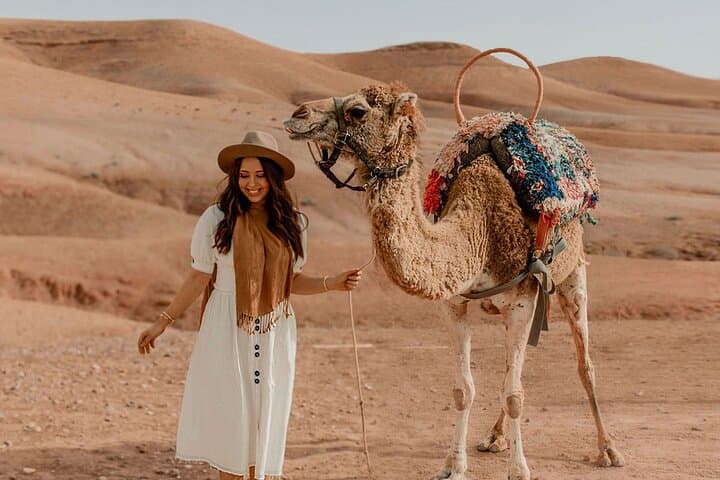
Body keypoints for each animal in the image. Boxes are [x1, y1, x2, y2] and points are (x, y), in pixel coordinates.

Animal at [283, 82, 625, 480]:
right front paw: (452, 465)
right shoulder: (455, 303)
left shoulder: (522, 299)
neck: (479, 229)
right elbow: (465, 390)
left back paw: (608, 448)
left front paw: (519, 469)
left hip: (573, 275)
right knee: (513, 369)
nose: (298, 114)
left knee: (584, 364)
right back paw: (494, 437)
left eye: (358, 111)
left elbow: (515, 395)